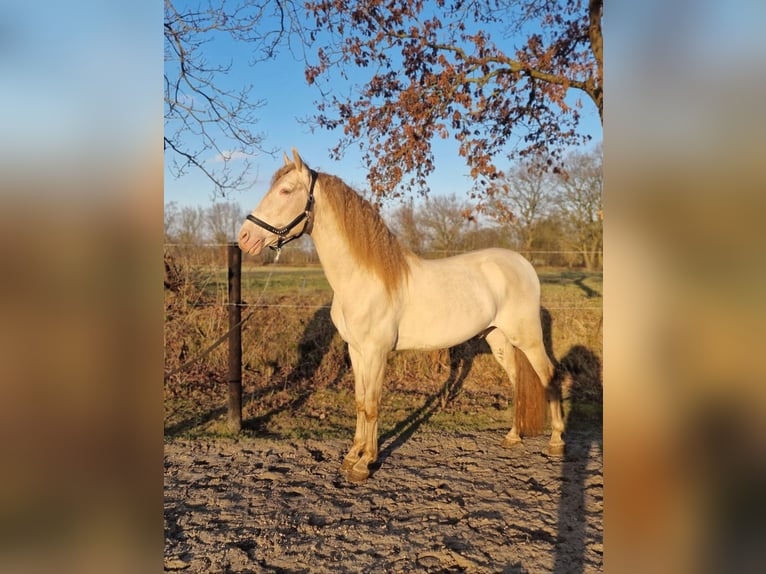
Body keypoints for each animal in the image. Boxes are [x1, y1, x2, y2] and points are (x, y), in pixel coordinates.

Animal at [237, 150, 568, 486]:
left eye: (285, 190)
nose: (244, 237)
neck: (363, 278)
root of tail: (523, 264)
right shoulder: (356, 351)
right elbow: (360, 401)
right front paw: (351, 456)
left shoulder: (376, 352)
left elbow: (372, 404)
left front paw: (365, 463)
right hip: (498, 337)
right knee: (518, 382)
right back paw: (513, 436)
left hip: (527, 338)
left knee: (549, 376)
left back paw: (556, 442)